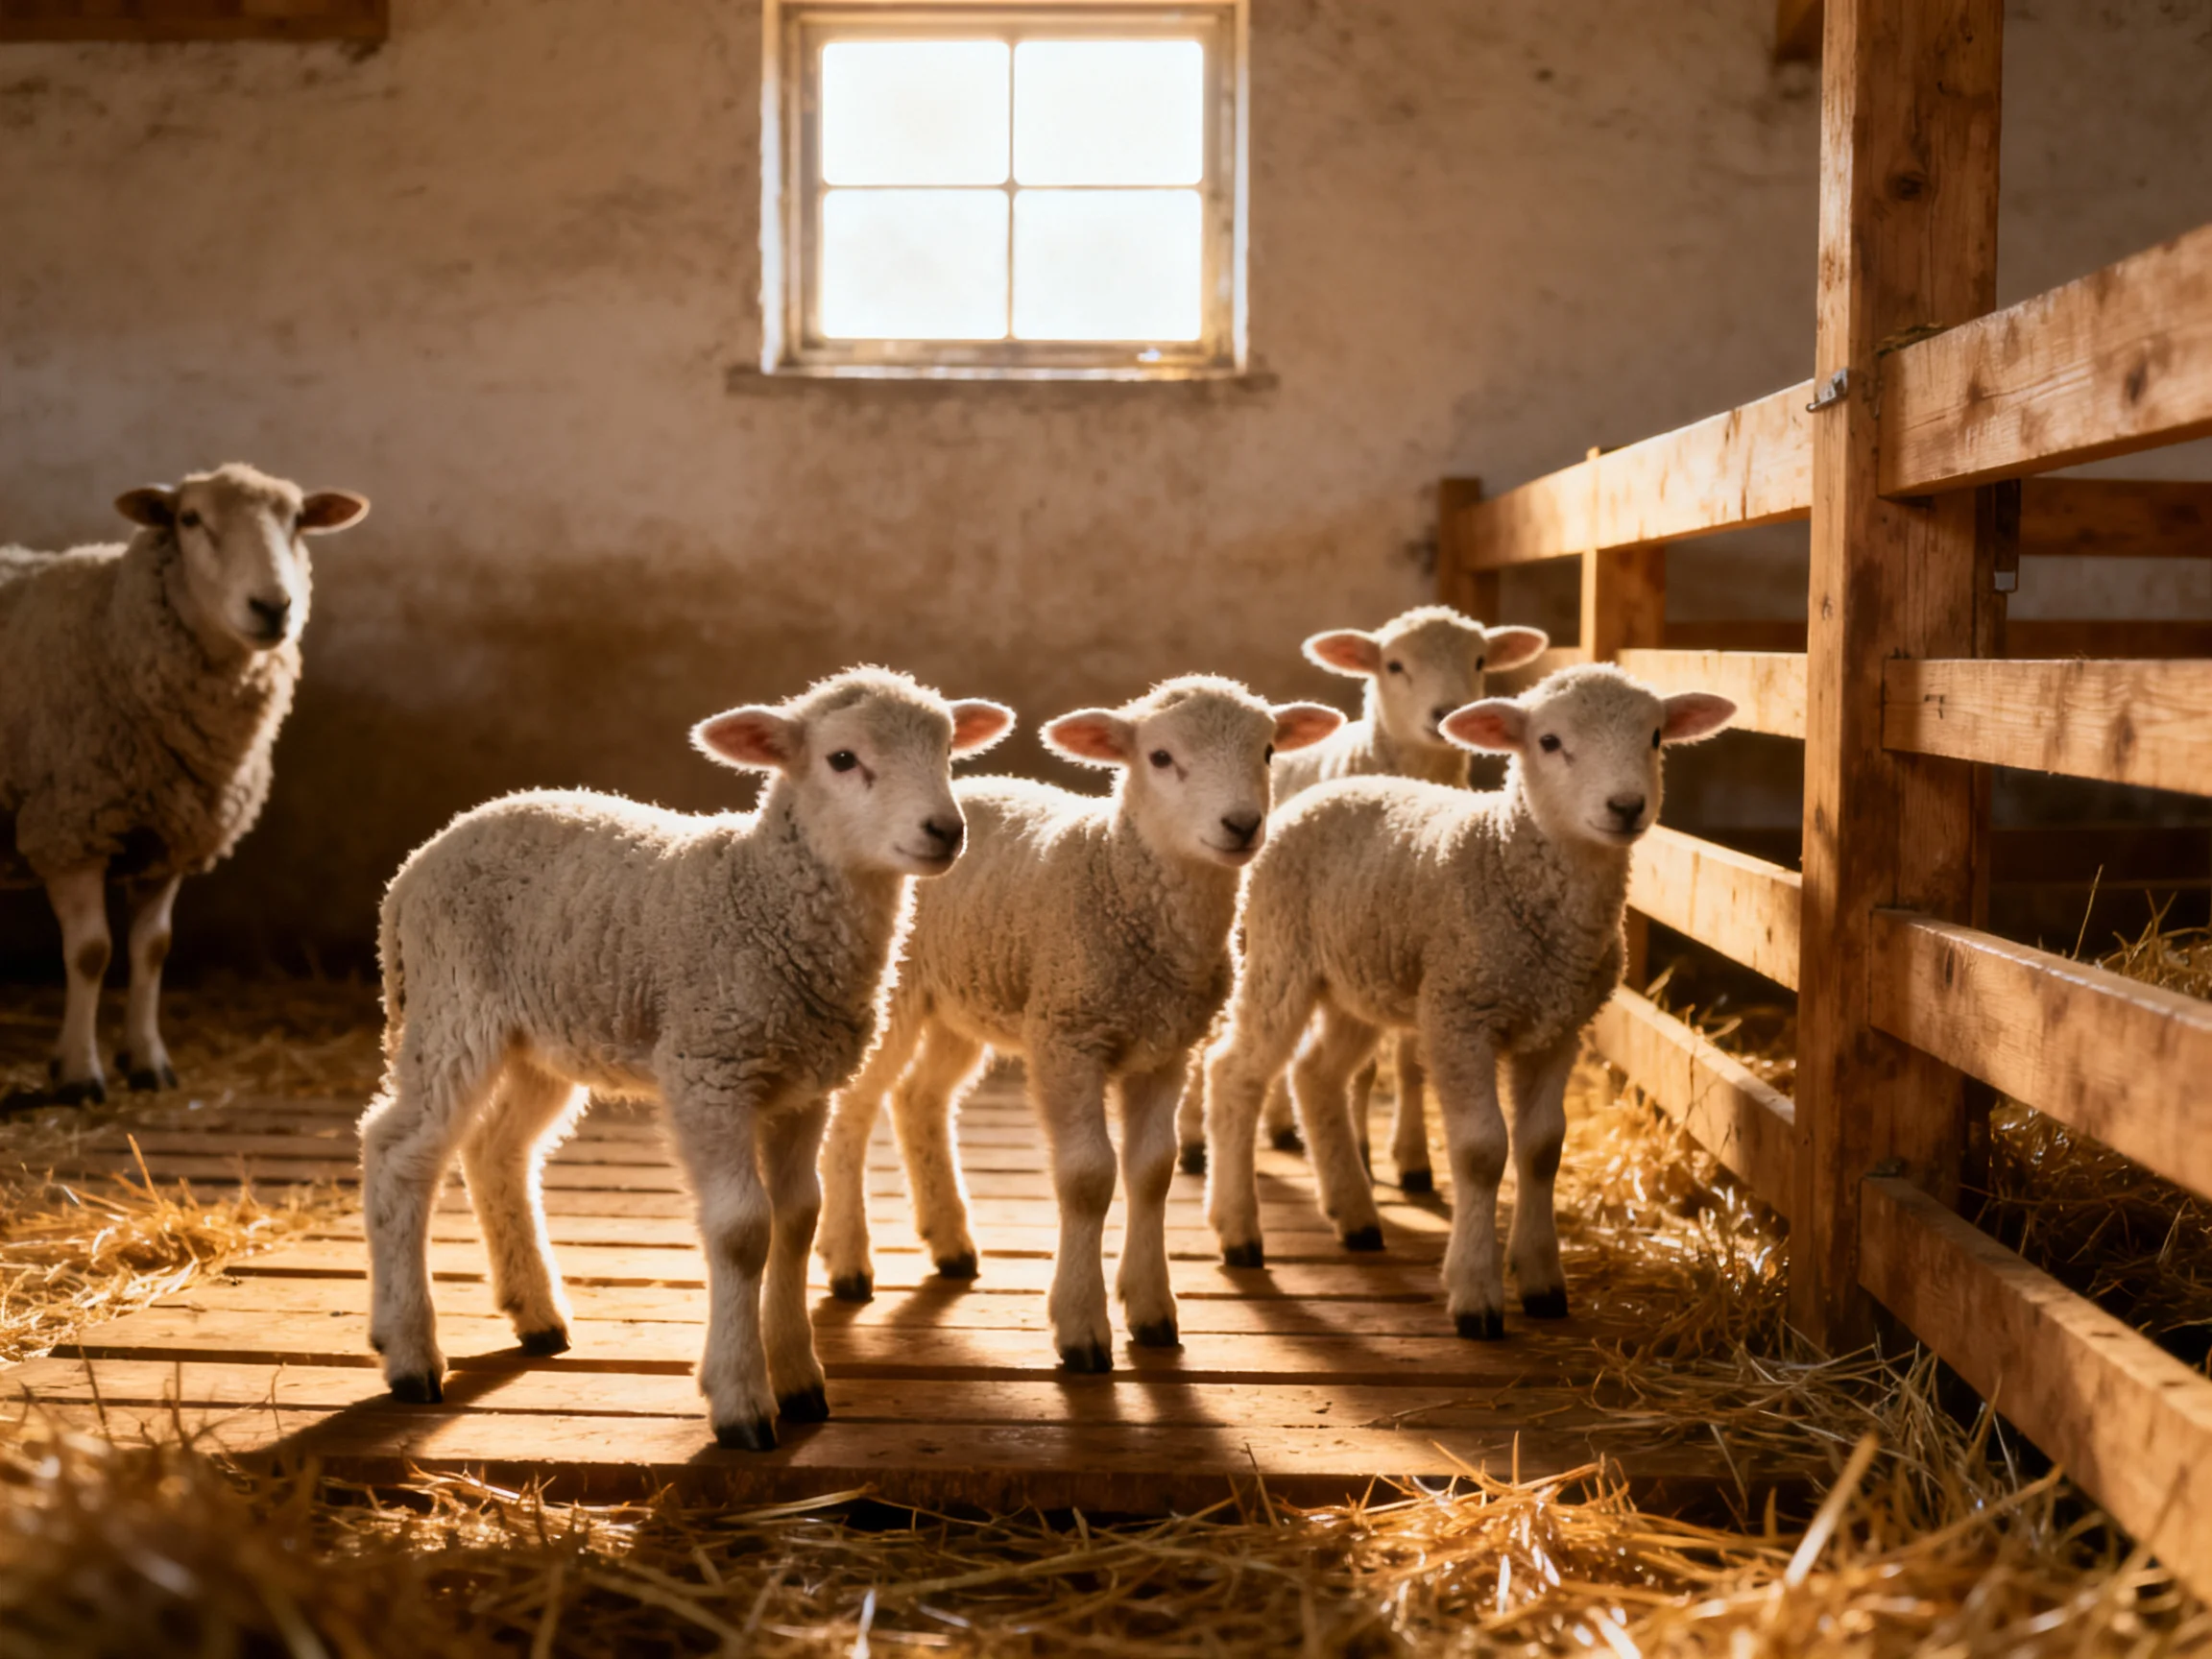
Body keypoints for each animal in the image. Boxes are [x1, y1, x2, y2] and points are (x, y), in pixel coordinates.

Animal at [0, 465, 370, 1110]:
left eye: (299, 520)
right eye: (190, 519)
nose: (273, 606)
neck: (110, 630)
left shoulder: (169, 833)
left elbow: (153, 948)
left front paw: (148, 1062)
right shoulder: (69, 828)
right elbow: (91, 953)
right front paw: (79, 1073)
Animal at [357, 669, 1014, 1450]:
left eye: (947, 751)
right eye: (843, 759)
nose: (946, 830)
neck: (760, 899)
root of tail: (418, 861)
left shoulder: (803, 1087)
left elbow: (798, 1218)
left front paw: (798, 1379)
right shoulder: (709, 1070)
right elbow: (742, 1229)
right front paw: (741, 1400)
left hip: (538, 1040)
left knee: (497, 1151)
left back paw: (537, 1316)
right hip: (453, 1008)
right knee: (399, 1152)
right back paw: (408, 1352)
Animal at [814, 677, 1342, 1371]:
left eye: (1269, 751)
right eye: (1161, 757)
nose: (1242, 824)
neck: (1118, 877)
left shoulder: (1165, 1049)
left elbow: (1153, 1170)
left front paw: (1152, 1310)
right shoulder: (1069, 1037)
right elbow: (1090, 1177)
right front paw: (1082, 1327)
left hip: (963, 996)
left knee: (919, 1098)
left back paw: (950, 1241)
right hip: (898, 998)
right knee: (852, 1112)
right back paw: (848, 1260)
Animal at [1173, 606, 1548, 1191]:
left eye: (1480, 661)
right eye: (1393, 665)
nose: (1446, 712)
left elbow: (1412, 1062)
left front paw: (1412, 1159)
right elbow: (1365, 1068)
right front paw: (1363, 1156)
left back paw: (1283, 1126)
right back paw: (1194, 1139)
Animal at [1201, 663, 1734, 1336]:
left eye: (1657, 736)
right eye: (1550, 741)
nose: (1626, 806)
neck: (1505, 857)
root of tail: (1322, 792)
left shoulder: (1559, 1028)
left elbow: (1542, 1149)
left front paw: (1542, 1281)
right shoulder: (1459, 1015)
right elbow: (1482, 1152)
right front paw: (1476, 1293)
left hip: (1357, 982)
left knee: (1315, 1074)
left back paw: (1355, 1216)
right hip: (1280, 955)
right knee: (1235, 1073)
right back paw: (1238, 1232)